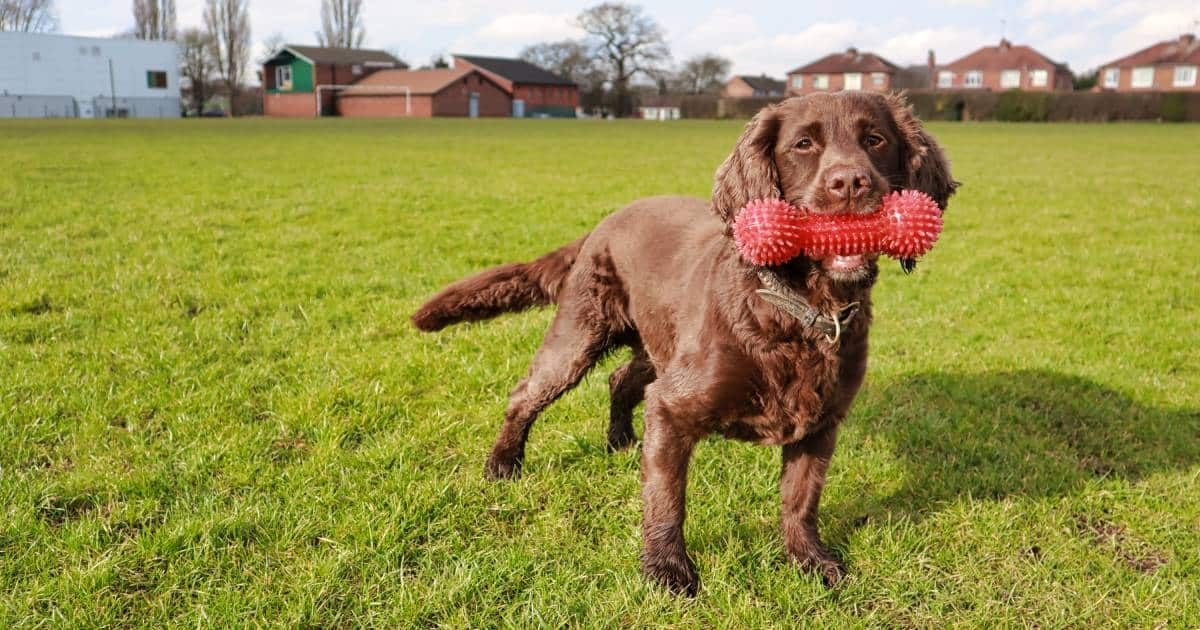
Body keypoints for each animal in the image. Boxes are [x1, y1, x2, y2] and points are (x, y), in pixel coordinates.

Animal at [412, 90, 955, 592]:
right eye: (803, 144)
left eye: (875, 140)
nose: (850, 183)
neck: (799, 310)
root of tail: (603, 224)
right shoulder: (674, 408)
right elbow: (667, 499)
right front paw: (667, 570)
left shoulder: (819, 425)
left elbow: (801, 501)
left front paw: (810, 561)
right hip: (580, 337)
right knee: (526, 394)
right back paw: (504, 464)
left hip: (657, 347)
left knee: (620, 379)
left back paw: (620, 440)